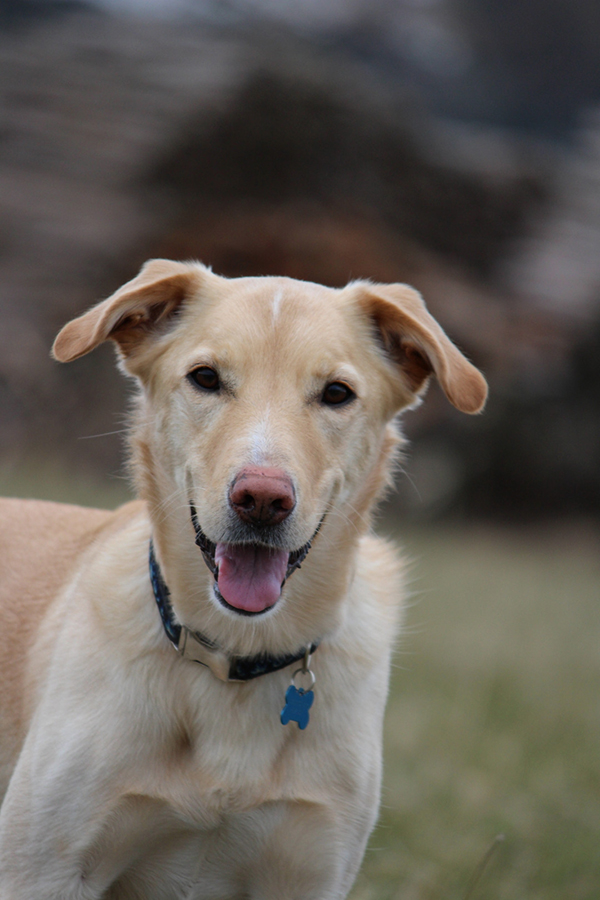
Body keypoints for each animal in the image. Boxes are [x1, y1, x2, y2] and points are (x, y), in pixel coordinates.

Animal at [0, 256, 486, 896]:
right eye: (205, 378)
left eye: (337, 393)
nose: (261, 499)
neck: (236, 653)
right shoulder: (43, 870)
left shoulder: (310, 872)